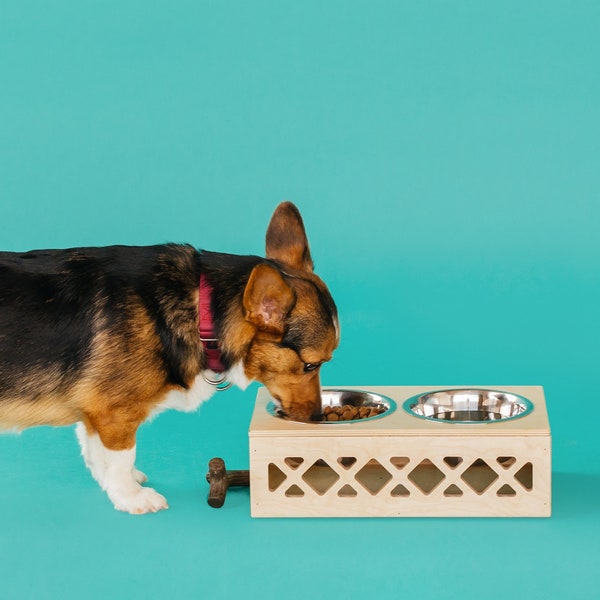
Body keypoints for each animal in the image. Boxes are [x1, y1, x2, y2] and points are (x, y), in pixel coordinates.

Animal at [0, 204, 338, 512]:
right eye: (311, 365)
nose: (317, 418)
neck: (203, 310)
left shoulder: (96, 412)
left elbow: (96, 451)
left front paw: (116, 485)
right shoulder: (115, 413)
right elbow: (121, 457)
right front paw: (132, 498)